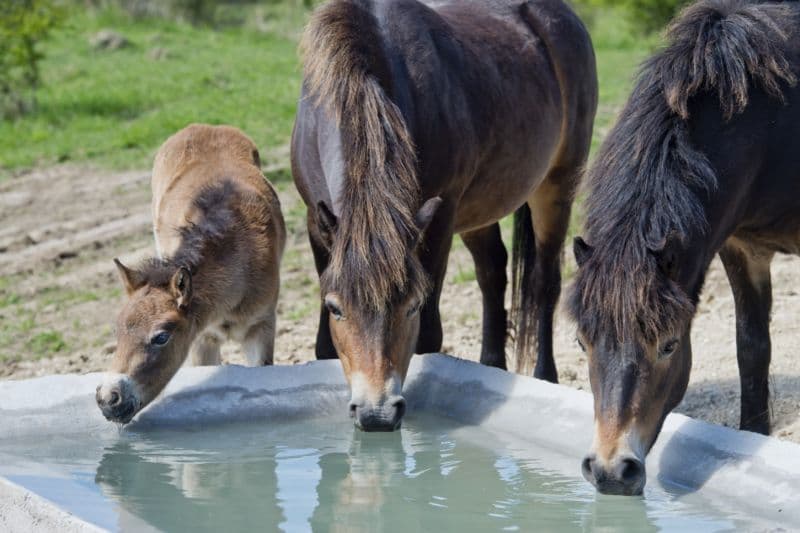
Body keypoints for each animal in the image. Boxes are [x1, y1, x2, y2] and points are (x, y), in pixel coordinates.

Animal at [97, 122, 286, 422]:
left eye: (161, 337)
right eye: (117, 331)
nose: (108, 399)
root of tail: (206, 126)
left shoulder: (261, 326)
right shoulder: (203, 337)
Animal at [290, 0, 596, 430]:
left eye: (412, 306)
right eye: (335, 308)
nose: (377, 414)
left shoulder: (439, 221)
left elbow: (429, 338)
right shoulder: (316, 223)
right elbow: (323, 345)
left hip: (556, 186)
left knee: (544, 282)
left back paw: (545, 376)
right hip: (481, 209)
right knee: (492, 273)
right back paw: (490, 367)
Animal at [568, 0, 800, 496]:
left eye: (669, 345)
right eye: (582, 342)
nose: (611, 470)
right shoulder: (741, 245)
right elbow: (752, 347)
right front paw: (754, 433)